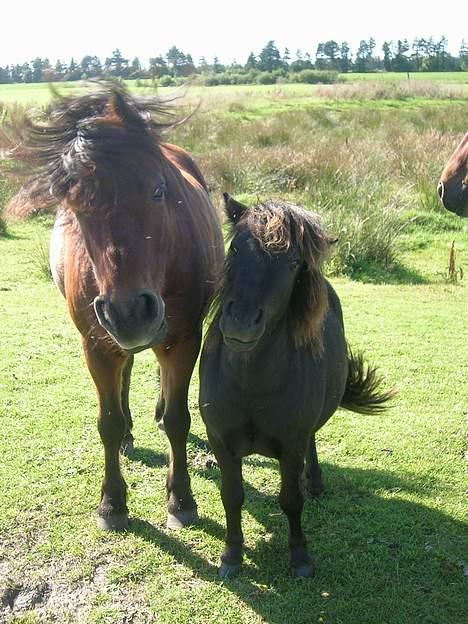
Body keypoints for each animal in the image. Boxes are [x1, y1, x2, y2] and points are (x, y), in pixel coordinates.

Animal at [199, 196, 394, 580]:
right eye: (235, 247)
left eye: (292, 263)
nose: (241, 323)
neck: (251, 386)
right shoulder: (221, 442)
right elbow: (232, 496)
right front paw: (232, 555)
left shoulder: (291, 445)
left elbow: (291, 500)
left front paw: (300, 557)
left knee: (313, 441)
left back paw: (315, 481)